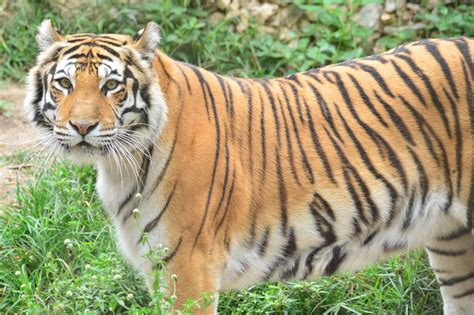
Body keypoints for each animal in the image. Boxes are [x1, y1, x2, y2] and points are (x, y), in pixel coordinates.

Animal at [25, 19, 474, 314]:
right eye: (64, 83)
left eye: (112, 86)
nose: (82, 127)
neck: (122, 165)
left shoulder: (189, 271)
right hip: (453, 242)